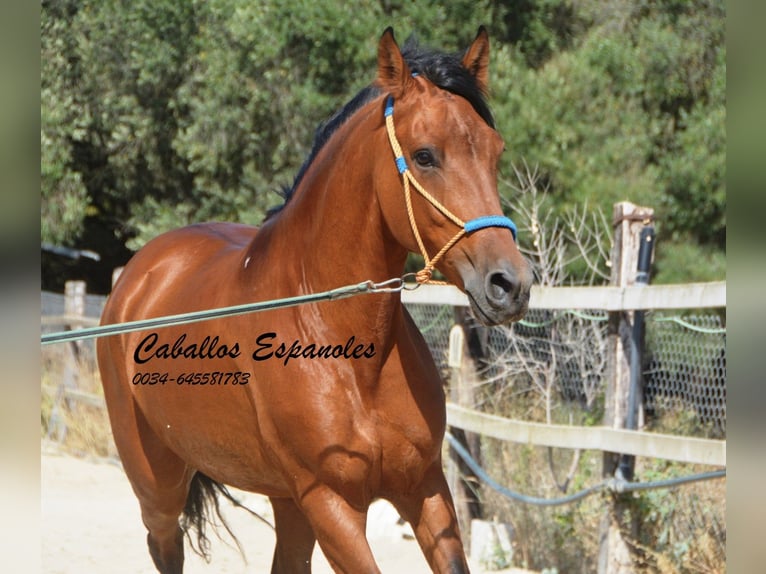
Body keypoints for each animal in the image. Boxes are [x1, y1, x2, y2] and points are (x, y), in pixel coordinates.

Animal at [97, 28, 536, 574]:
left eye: (496, 152)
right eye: (424, 155)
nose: (510, 284)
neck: (343, 348)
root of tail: (138, 275)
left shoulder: (425, 487)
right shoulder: (332, 503)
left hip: (286, 500)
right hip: (159, 483)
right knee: (165, 545)